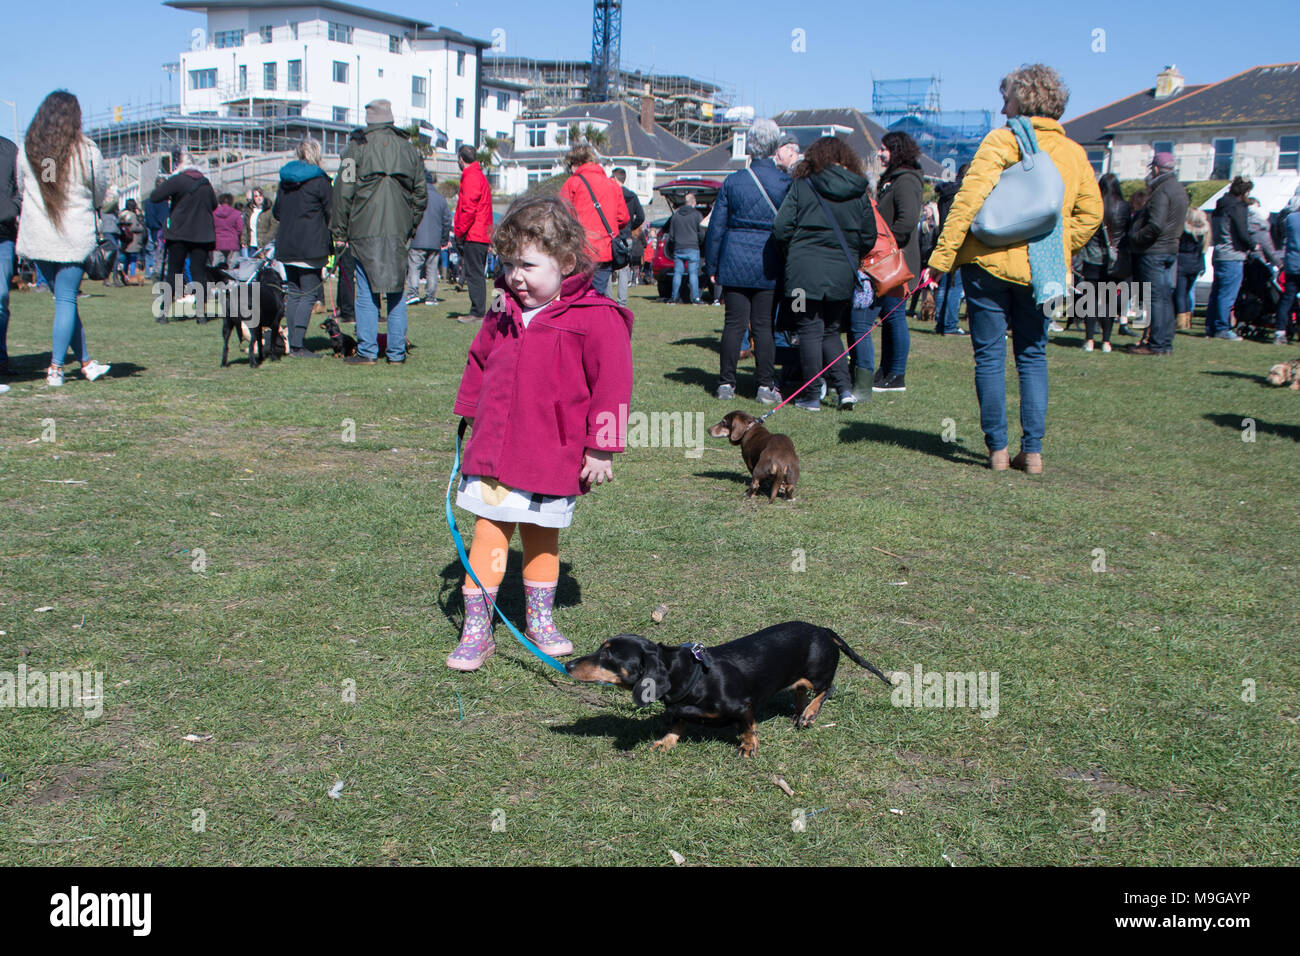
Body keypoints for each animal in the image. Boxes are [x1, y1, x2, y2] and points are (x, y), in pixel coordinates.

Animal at [564, 624, 889, 759]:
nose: (567, 665)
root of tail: (823, 630)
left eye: (608, 655)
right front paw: (666, 743)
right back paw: (798, 712)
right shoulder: (677, 710)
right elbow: (676, 724)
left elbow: (747, 727)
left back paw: (808, 714)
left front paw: (748, 746)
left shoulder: (744, 707)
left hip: (817, 675)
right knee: (800, 692)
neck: (695, 678)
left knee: (826, 688)